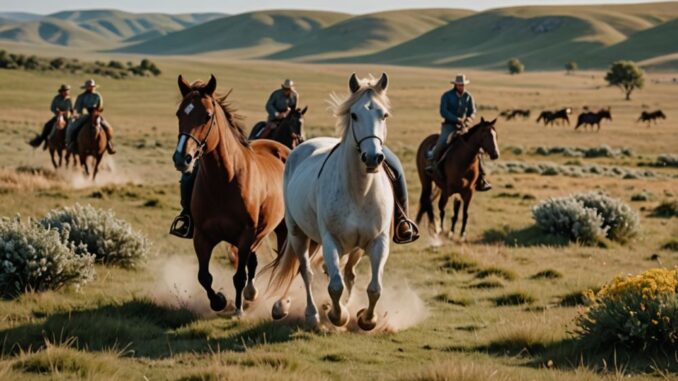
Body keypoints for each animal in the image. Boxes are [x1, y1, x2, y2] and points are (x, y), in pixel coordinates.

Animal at [173, 73, 290, 312]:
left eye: (207, 115)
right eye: (179, 113)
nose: (182, 158)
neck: (223, 181)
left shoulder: (245, 236)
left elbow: (238, 277)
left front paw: (238, 309)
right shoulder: (202, 236)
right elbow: (204, 277)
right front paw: (219, 300)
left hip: (281, 230)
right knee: (253, 263)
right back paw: (252, 294)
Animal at [266, 72, 394, 328]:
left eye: (383, 114)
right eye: (354, 115)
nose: (373, 157)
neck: (360, 193)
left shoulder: (377, 242)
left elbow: (374, 288)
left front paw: (366, 319)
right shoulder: (331, 241)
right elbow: (335, 285)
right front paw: (338, 315)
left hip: (350, 248)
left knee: (344, 273)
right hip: (298, 234)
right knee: (306, 271)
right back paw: (310, 312)